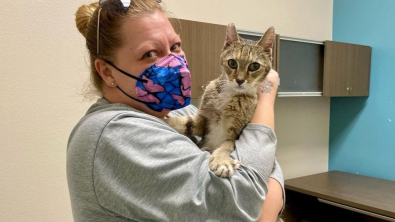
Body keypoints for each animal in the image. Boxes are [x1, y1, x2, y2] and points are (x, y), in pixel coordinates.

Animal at [166, 23, 274, 178]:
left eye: (254, 66)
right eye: (232, 63)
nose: (239, 80)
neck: (229, 94)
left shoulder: (235, 132)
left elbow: (225, 146)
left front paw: (222, 162)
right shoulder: (204, 119)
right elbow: (186, 122)